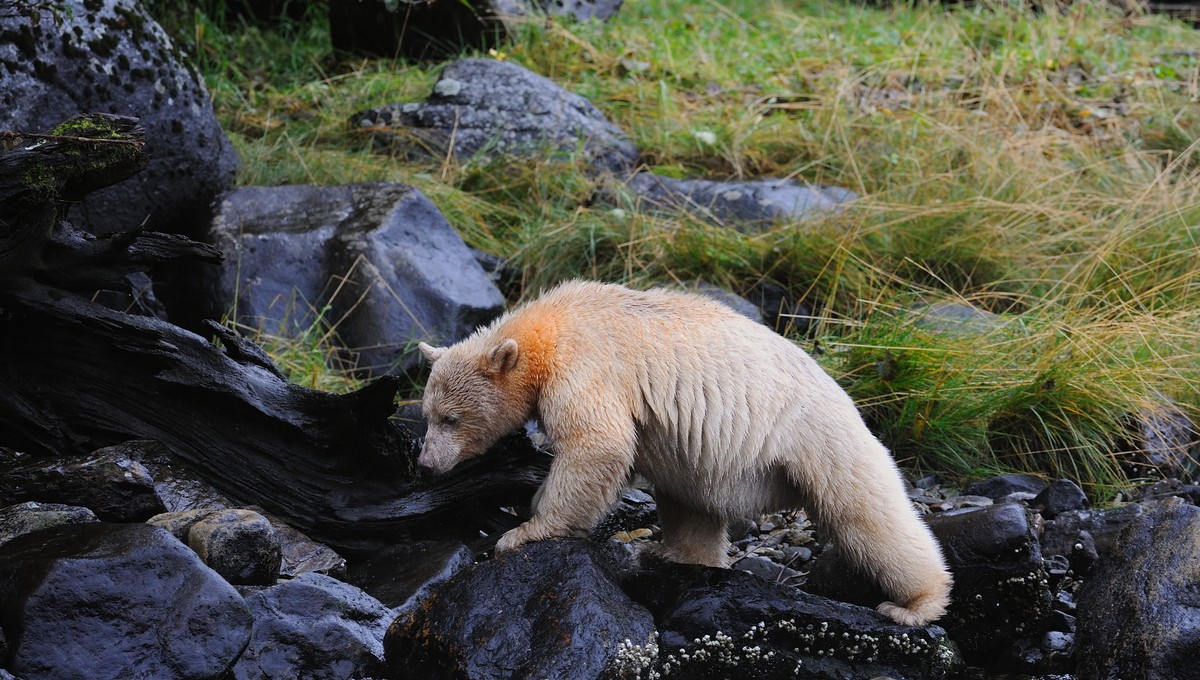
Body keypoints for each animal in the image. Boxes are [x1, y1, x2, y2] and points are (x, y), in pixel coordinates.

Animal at [417, 279, 950, 623]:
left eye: (451, 419)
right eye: (426, 414)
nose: (425, 465)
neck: (546, 327)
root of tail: (846, 399)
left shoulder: (586, 362)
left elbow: (598, 444)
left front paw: (523, 531)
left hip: (816, 440)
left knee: (867, 515)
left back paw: (915, 604)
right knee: (690, 501)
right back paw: (671, 554)